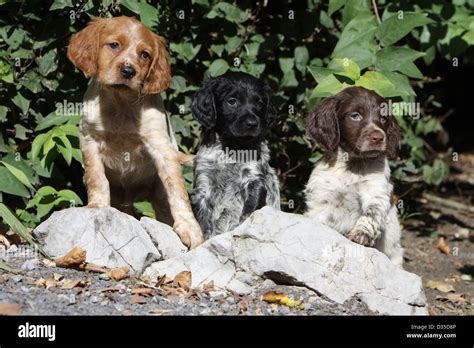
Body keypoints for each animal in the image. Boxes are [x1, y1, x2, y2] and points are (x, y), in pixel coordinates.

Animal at [67, 16, 204, 249]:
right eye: (114, 45)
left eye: (145, 55)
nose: (129, 71)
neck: (121, 104)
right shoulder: (89, 138)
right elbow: (97, 178)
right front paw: (97, 205)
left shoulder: (161, 146)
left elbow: (178, 191)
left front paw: (190, 229)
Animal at [190, 72, 280, 238]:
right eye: (232, 101)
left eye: (259, 103)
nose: (252, 123)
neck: (232, 148)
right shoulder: (203, 186)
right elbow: (203, 224)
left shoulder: (254, 179)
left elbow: (248, 212)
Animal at [306, 87, 402, 266]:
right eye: (355, 115)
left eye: (383, 118)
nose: (378, 137)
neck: (352, 165)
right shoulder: (322, 200)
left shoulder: (377, 193)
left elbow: (371, 213)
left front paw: (361, 234)